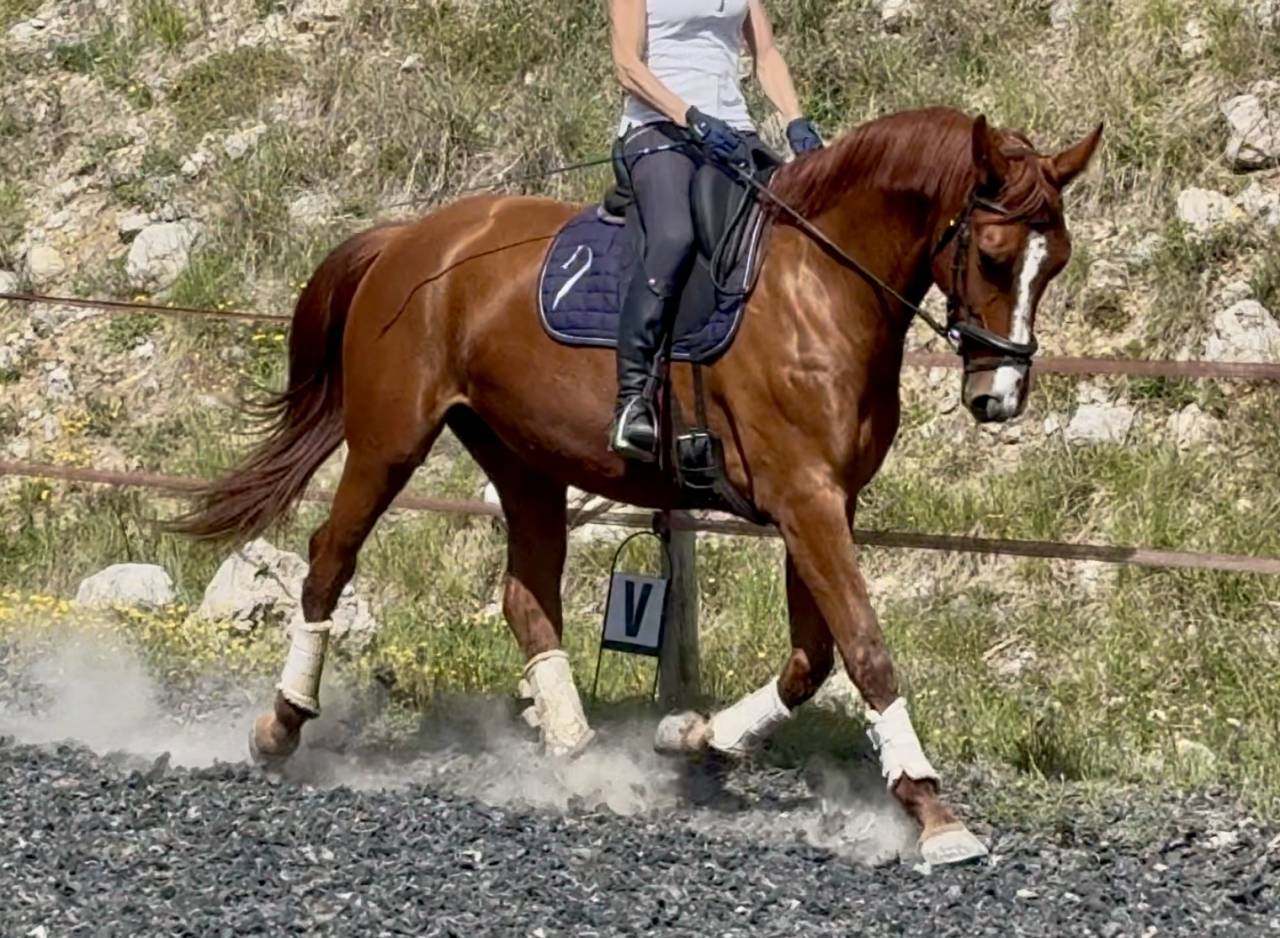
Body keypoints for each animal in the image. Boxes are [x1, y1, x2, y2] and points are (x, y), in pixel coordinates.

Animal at [173, 106, 1102, 865]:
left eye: (1054, 263)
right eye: (992, 256)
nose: (999, 398)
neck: (821, 286)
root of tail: (410, 237)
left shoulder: (825, 500)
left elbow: (812, 658)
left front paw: (695, 739)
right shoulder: (805, 499)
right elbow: (864, 647)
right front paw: (933, 812)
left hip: (523, 459)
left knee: (526, 595)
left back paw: (580, 757)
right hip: (389, 440)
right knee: (330, 558)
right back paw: (281, 725)